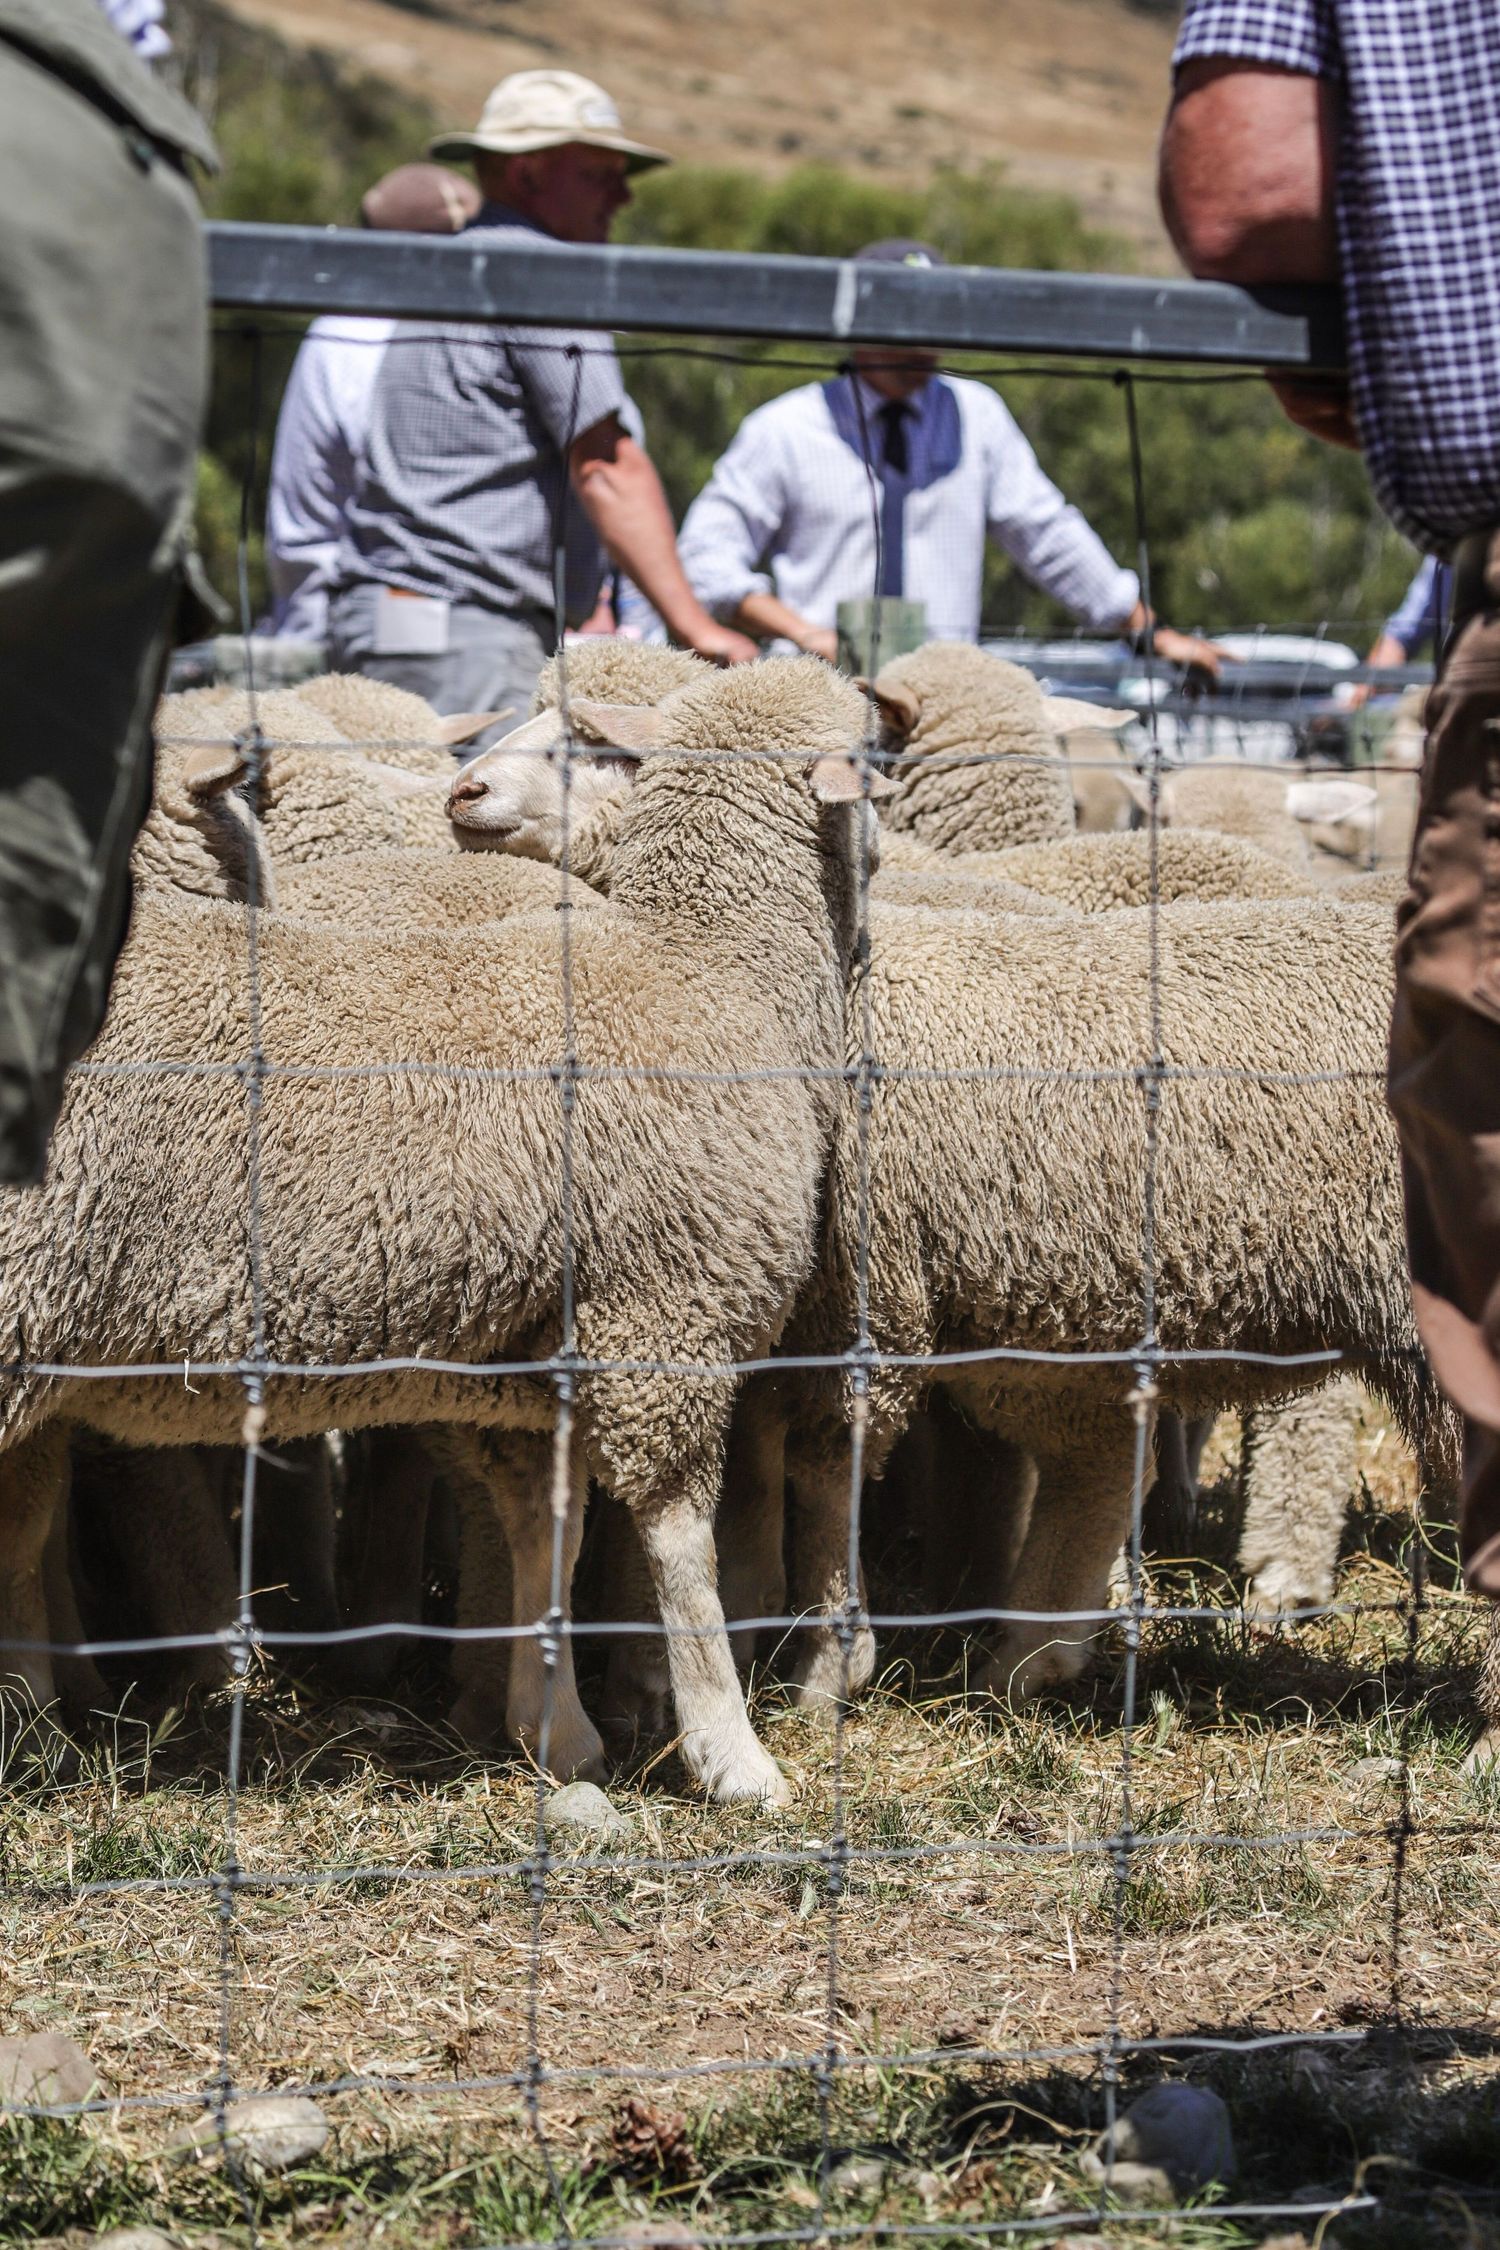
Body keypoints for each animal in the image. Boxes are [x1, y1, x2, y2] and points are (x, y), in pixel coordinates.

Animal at [0, 656, 879, 1804]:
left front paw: (555, 1733)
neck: (711, 969)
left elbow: (548, 1523)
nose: (464, 790)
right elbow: (680, 1547)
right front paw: (733, 1756)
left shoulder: (538, 1356)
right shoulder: (663, 1313)